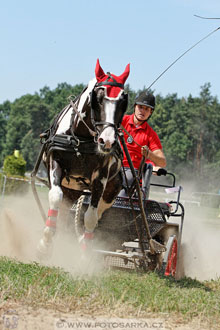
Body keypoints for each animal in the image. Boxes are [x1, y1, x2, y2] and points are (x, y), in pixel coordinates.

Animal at [37, 58, 131, 255]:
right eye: (98, 98)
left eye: (123, 101)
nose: (107, 141)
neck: (80, 138)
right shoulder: (55, 163)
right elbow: (55, 197)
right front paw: (45, 243)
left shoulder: (100, 177)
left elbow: (91, 217)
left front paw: (85, 255)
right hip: (70, 189)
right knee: (63, 209)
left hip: (108, 193)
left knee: (98, 213)